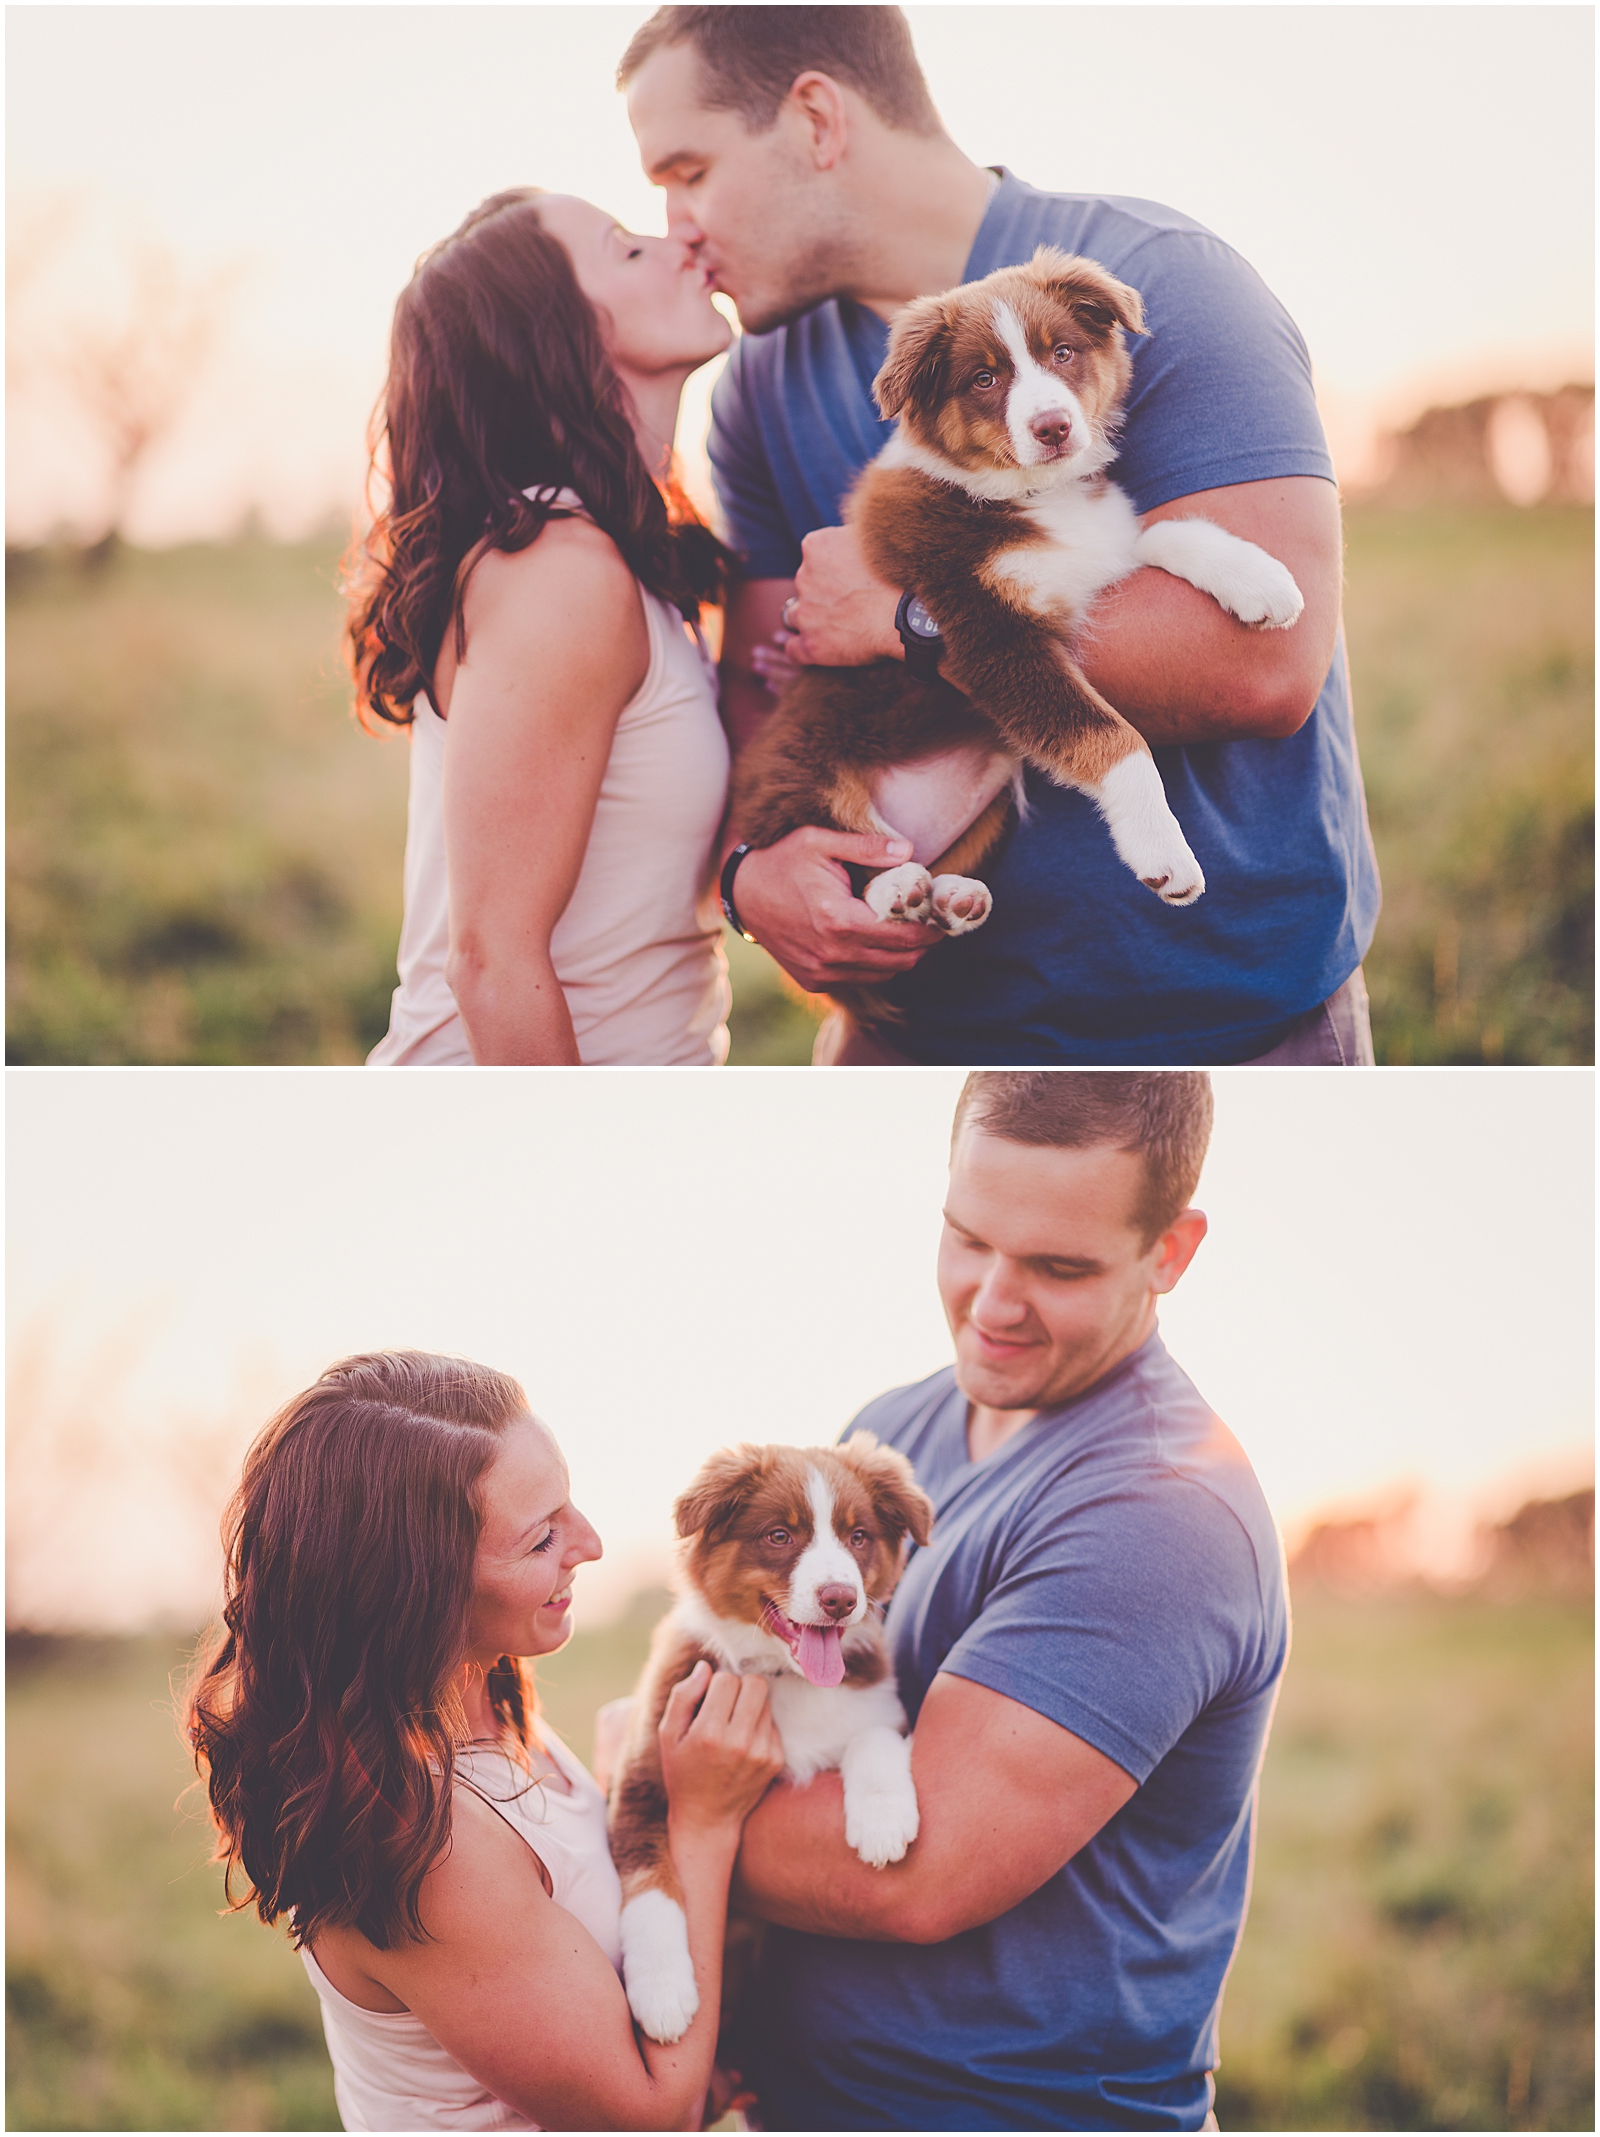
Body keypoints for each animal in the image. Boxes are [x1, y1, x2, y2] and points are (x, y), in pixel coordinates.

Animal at [610, 1427, 935, 2042]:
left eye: (858, 1536)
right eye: (779, 1536)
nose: (840, 1599)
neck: (784, 1676)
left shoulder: (876, 1705)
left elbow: (873, 1737)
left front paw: (882, 1822)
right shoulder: (639, 1778)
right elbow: (649, 1889)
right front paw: (662, 1994)